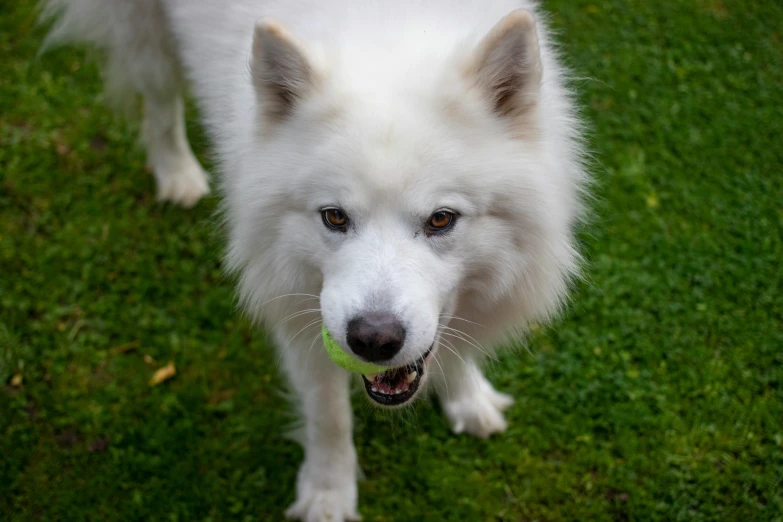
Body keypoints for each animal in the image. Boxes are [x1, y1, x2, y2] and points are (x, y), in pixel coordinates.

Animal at [39, 1, 584, 516]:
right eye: (334, 217)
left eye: (441, 220)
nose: (373, 340)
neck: (387, 37)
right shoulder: (300, 309)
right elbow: (328, 416)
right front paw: (327, 494)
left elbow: (455, 345)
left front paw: (467, 398)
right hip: (148, 37)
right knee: (158, 100)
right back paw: (177, 173)